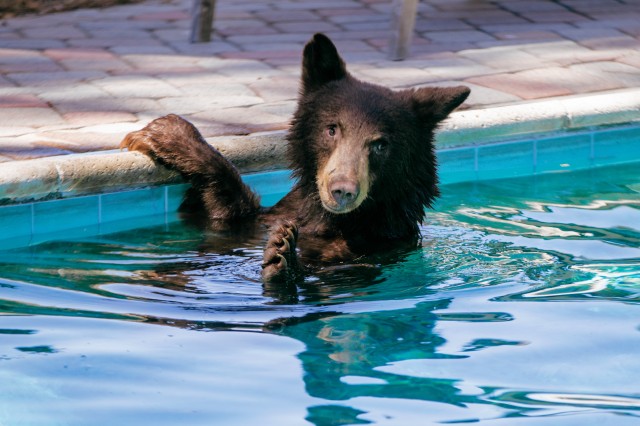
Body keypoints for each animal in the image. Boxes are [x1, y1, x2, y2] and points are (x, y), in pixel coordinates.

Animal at [120, 33, 470, 285]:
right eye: (332, 129)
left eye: (380, 145)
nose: (342, 190)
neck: (330, 220)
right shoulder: (258, 221)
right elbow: (228, 213)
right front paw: (167, 132)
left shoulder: (379, 248)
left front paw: (283, 259)